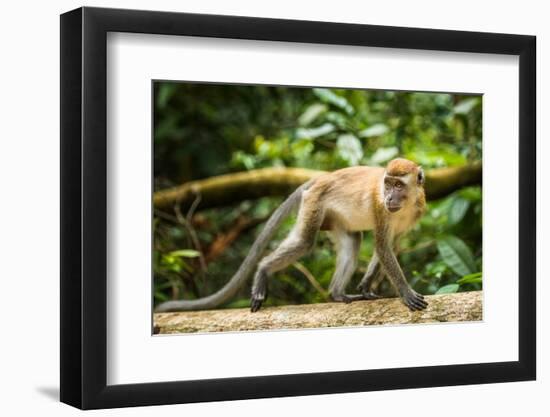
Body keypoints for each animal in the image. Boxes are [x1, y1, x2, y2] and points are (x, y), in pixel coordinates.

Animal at [156, 157, 432, 312]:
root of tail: (322, 178)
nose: (389, 197)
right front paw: (405, 292)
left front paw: (366, 285)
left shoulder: (415, 211)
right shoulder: (380, 208)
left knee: (352, 242)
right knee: (304, 242)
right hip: (315, 203)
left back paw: (337, 294)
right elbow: (383, 247)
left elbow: (388, 246)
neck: (406, 204)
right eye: (387, 183)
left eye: (398, 185)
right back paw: (263, 270)